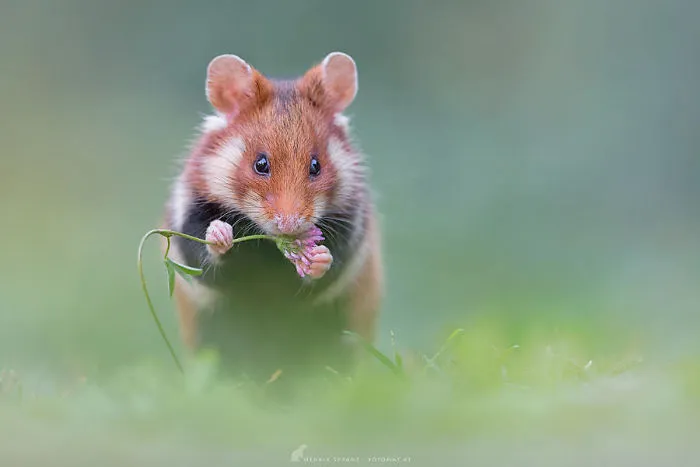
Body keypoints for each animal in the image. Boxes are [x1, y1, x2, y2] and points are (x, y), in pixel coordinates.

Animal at [162, 52, 383, 379]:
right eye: (260, 163)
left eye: (316, 165)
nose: (288, 226)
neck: (267, 248)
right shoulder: (188, 212)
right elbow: (204, 256)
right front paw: (221, 234)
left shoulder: (351, 226)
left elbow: (331, 265)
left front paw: (317, 258)